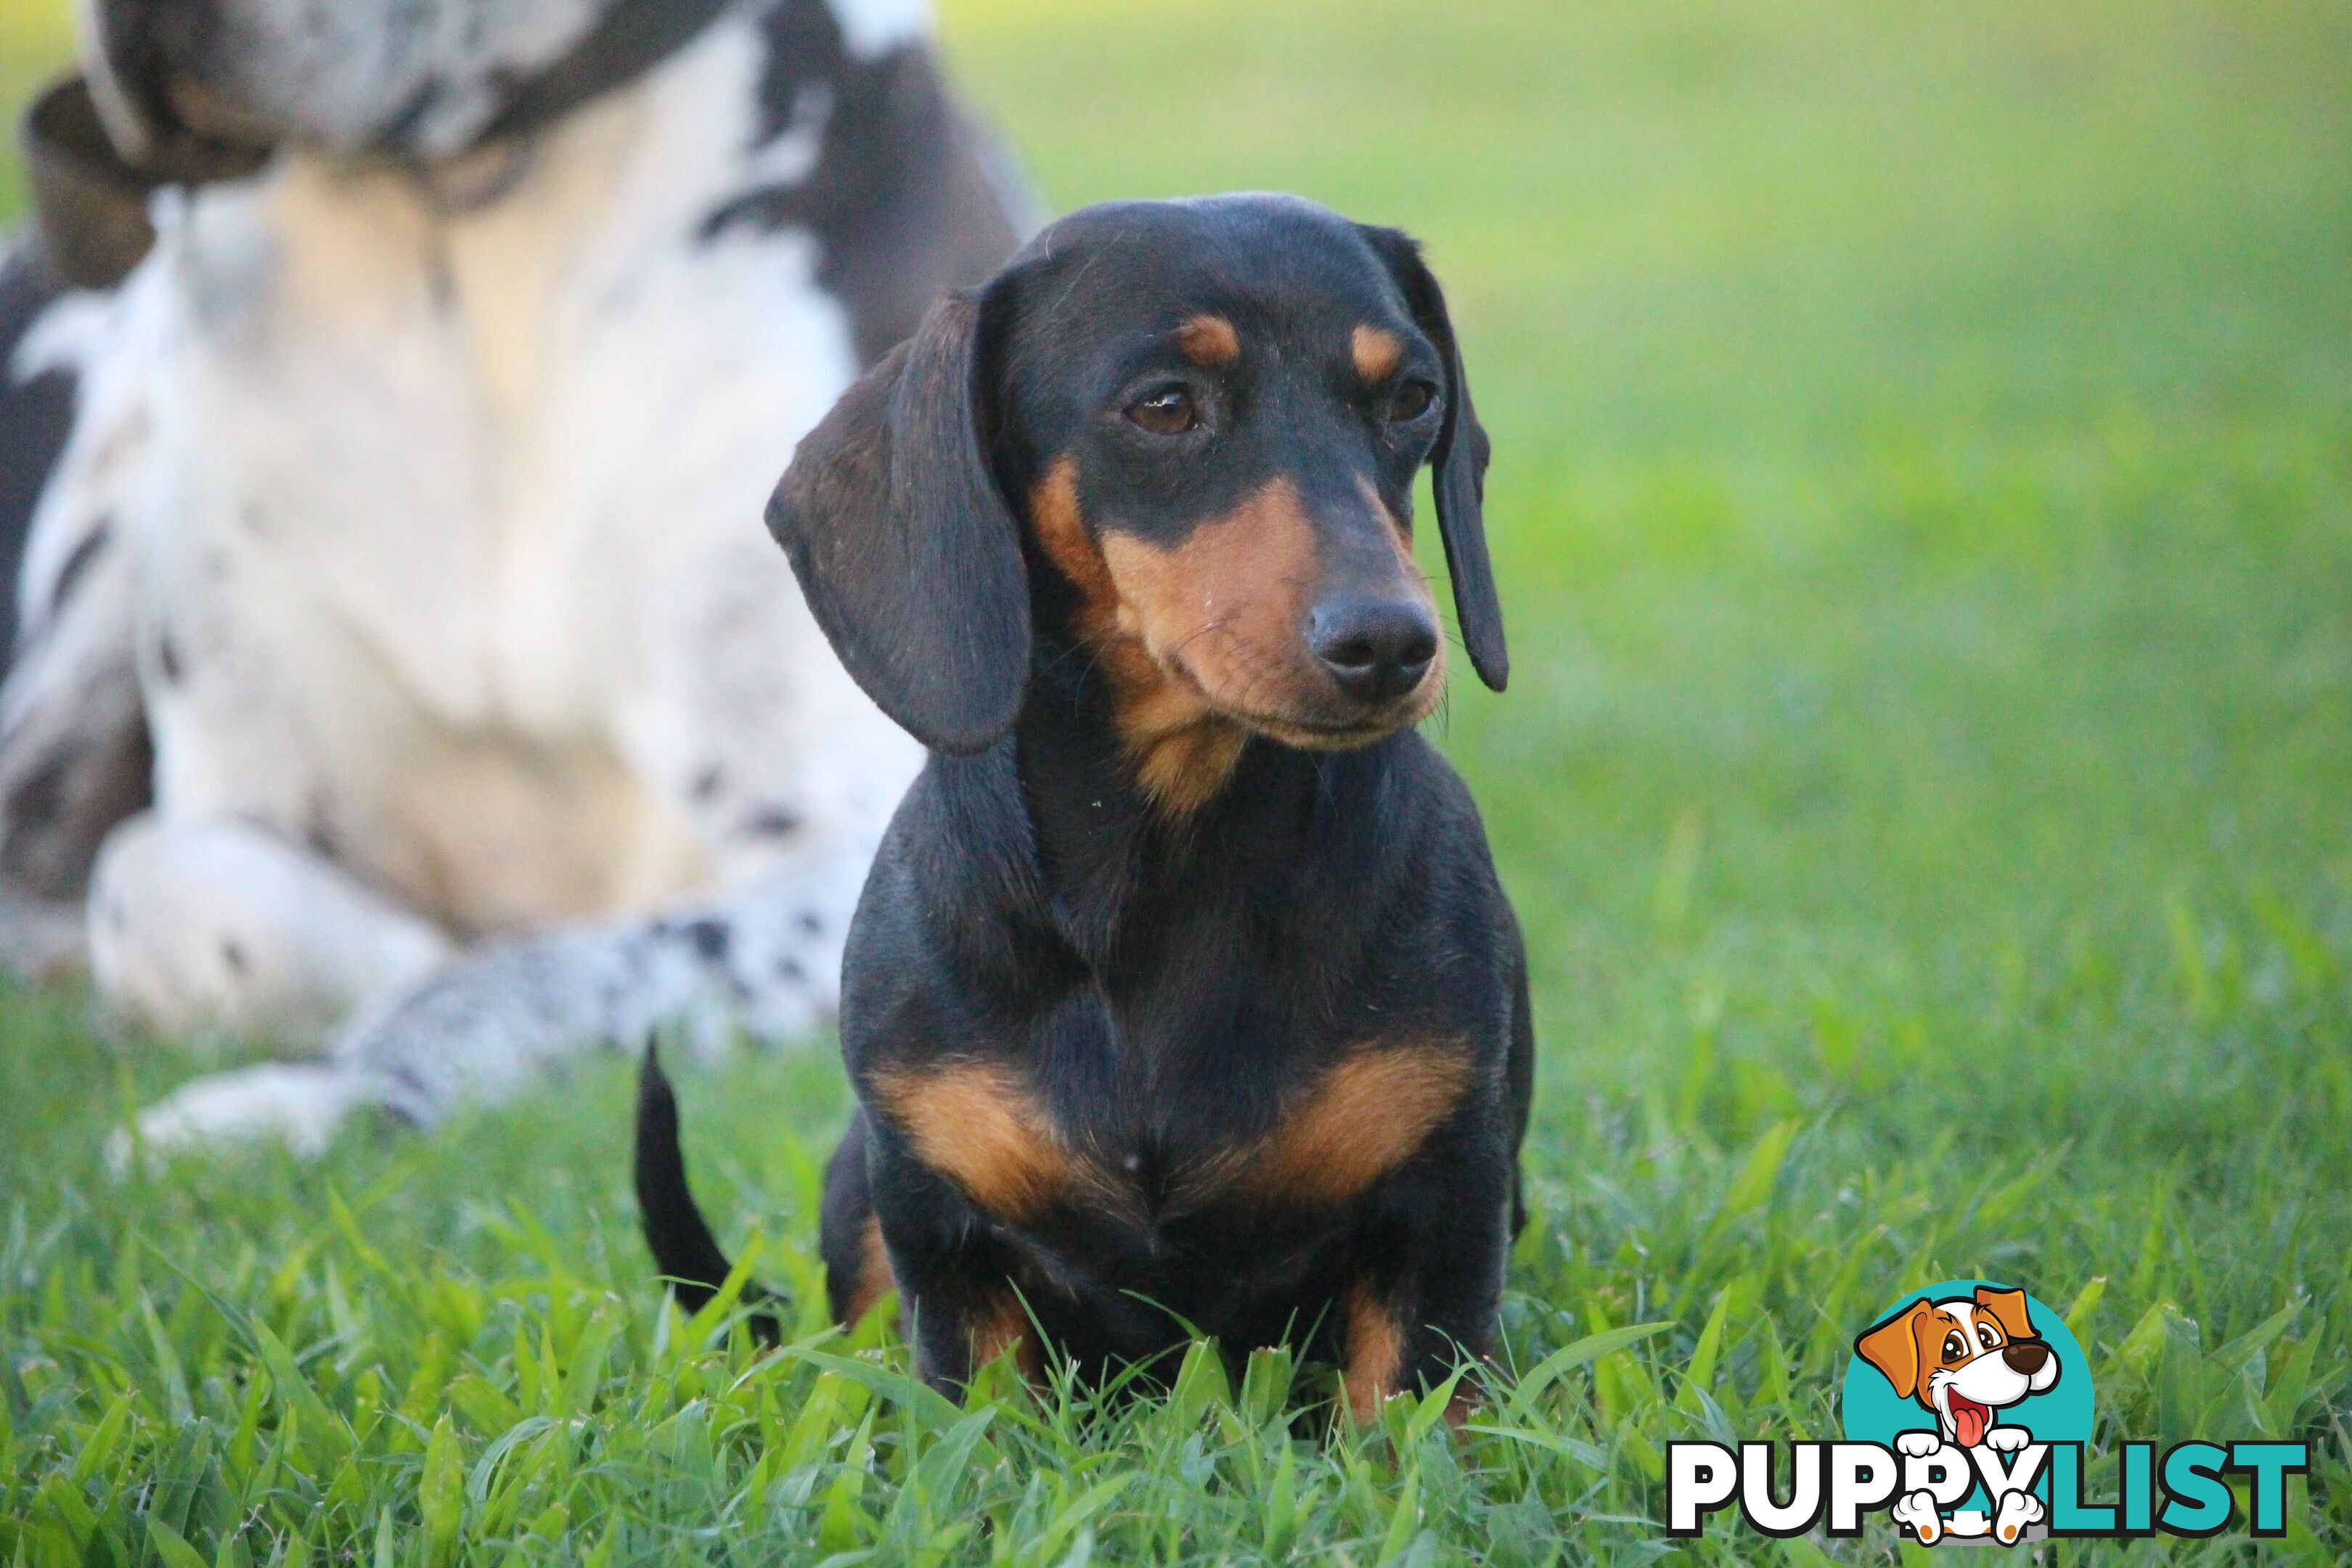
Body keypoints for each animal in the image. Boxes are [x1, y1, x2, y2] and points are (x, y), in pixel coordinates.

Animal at [0, 0, 1030, 1151]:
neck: (470, 208)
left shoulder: (836, 840)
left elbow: (541, 968)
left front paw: (320, 1086)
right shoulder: (253, 792)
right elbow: (154, 886)